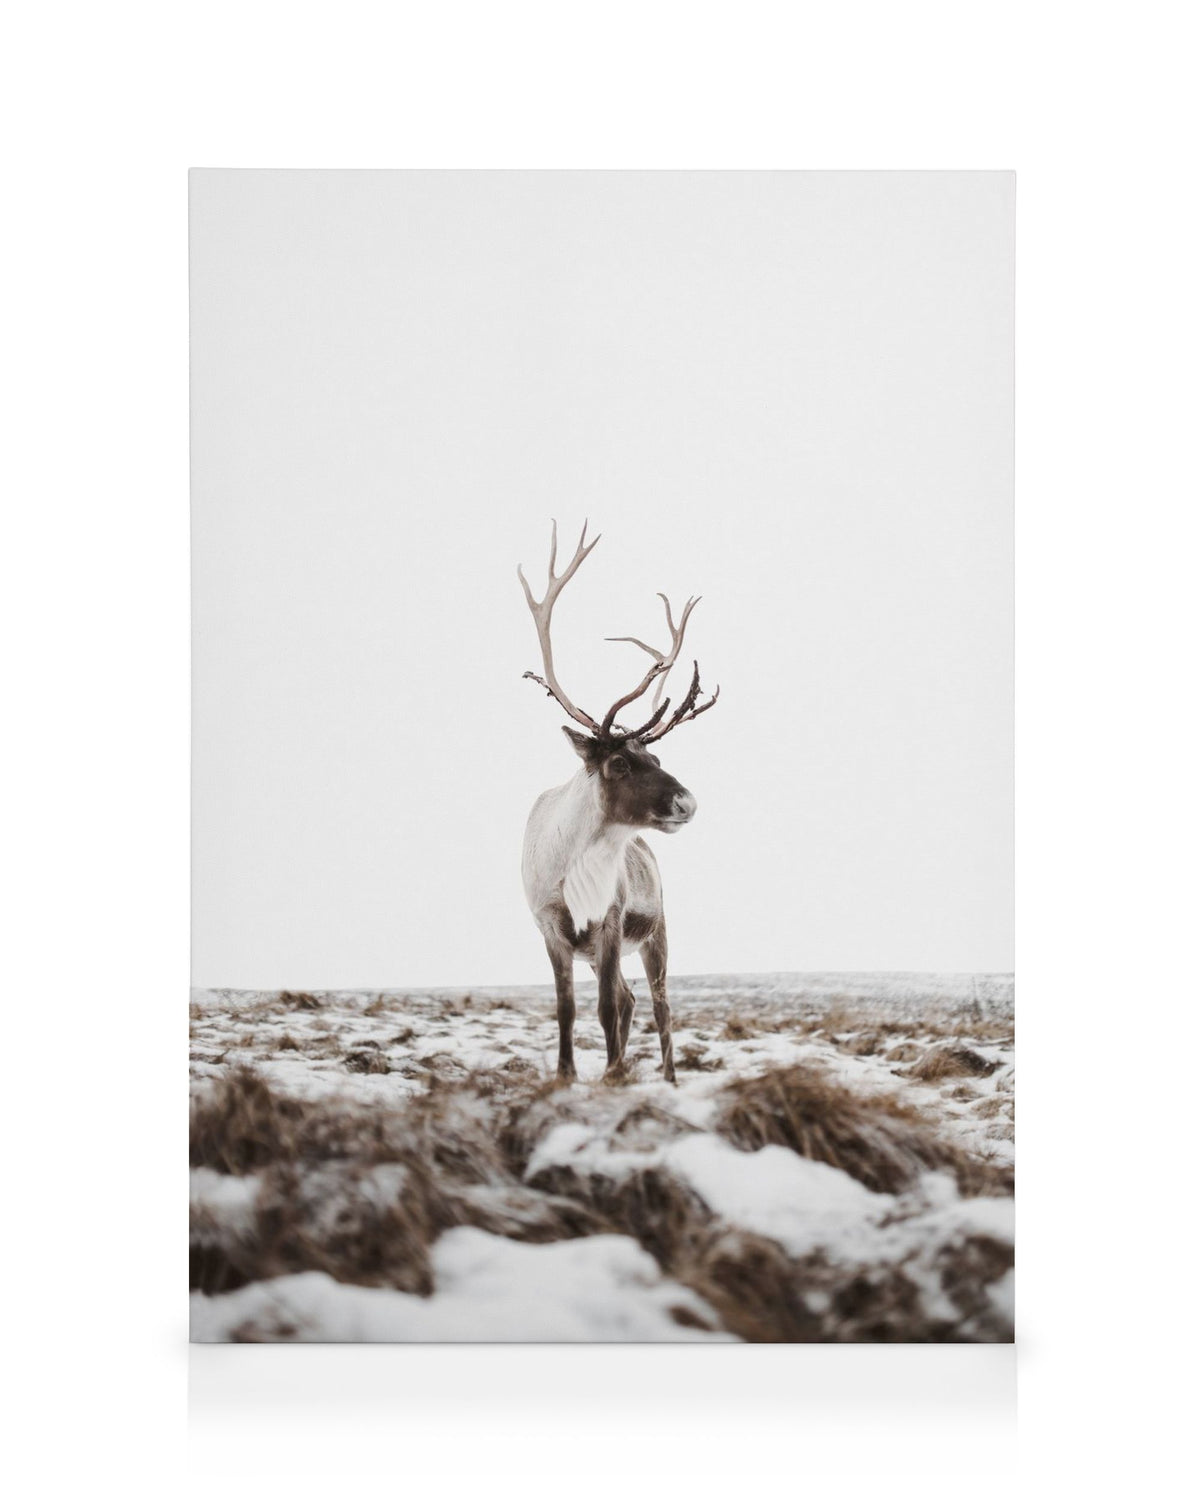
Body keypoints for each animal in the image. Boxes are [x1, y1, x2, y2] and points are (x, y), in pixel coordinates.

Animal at [518, 520, 719, 1085]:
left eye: (654, 753)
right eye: (619, 763)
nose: (688, 802)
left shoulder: (609, 921)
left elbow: (606, 1007)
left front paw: (613, 1072)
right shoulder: (551, 928)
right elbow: (566, 1007)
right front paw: (568, 1074)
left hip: (657, 933)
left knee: (658, 1003)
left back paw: (667, 1076)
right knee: (632, 998)